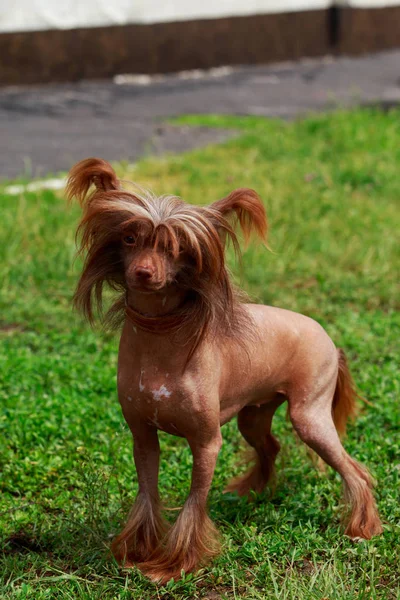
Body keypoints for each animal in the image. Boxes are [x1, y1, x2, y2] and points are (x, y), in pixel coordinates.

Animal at [67, 157, 382, 584]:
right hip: (254, 415)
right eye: (130, 239)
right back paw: (252, 491)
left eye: (179, 247)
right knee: (271, 446)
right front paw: (137, 552)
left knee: (354, 470)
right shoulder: (143, 435)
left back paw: (363, 527)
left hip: (309, 417)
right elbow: (148, 493)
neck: (159, 337)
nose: (144, 273)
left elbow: (194, 503)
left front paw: (175, 564)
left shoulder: (206, 442)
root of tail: (332, 342)